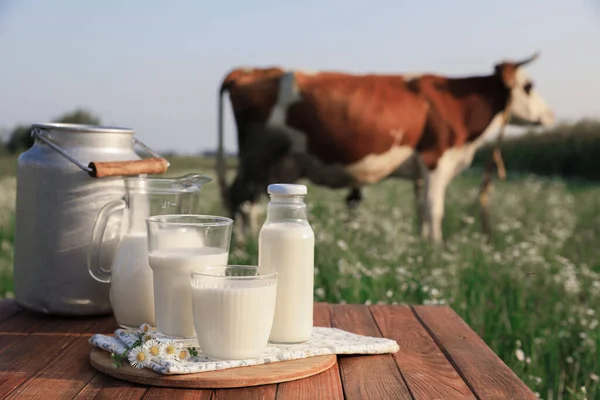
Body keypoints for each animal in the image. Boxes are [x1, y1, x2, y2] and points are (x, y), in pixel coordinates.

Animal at [214, 51, 552, 242]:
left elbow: (421, 210)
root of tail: (249, 70)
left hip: (276, 165)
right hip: (258, 156)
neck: (454, 101)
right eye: (529, 86)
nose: (550, 116)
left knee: (248, 202)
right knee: (241, 198)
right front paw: (436, 250)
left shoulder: (420, 170)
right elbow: (435, 211)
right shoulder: (436, 160)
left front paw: (423, 248)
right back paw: (243, 247)